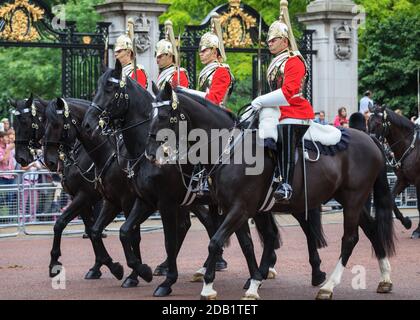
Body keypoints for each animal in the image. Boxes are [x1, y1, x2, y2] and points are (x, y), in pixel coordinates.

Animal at [10, 95, 119, 280]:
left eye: (25, 122)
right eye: (14, 124)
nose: (20, 158)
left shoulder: (85, 195)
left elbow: (61, 222)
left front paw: (55, 262)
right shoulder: (80, 198)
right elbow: (90, 229)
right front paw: (97, 266)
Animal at [81, 63, 278, 296]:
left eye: (110, 90)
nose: (87, 124)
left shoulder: (162, 202)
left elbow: (167, 241)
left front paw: (162, 281)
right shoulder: (142, 201)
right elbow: (122, 232)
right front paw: (138, 271)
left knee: (262, 235)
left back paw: (256, 274)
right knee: (249, 235)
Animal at [146, 83, 396, 300]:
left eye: (163, 116)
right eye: (150, 115)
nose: (150, 154)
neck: (229, 149)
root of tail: (370, 139)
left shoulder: (240, 208)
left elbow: (216, 241)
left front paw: (208, 287)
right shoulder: (237, 209)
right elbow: (248, 244)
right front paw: (254, 282)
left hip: (353, 199)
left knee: (349, 238)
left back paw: (328, 286)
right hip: (348, 199)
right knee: (371, 229)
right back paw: (384, 278)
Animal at [370, 106, 418, 239]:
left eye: (378, 123)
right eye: (368, 121)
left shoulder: (417, 181)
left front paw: (417, 231)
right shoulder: (403, 180)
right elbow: (391, 199)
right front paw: (406, 222)